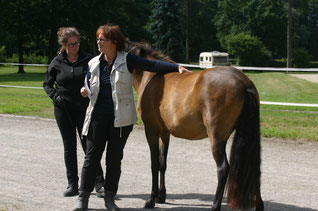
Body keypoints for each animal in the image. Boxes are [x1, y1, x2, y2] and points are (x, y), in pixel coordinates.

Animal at [128, 41, 264, 211]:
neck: (151, 77)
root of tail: (244, 82)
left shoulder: (151, 130)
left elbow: (154, 164)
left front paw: (151, 200)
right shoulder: (164, 133)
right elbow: (162, 163)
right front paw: (161, 196)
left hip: (216, 139)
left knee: (223, 169)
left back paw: (215, 206)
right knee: (254, 169)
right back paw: (259, 205)